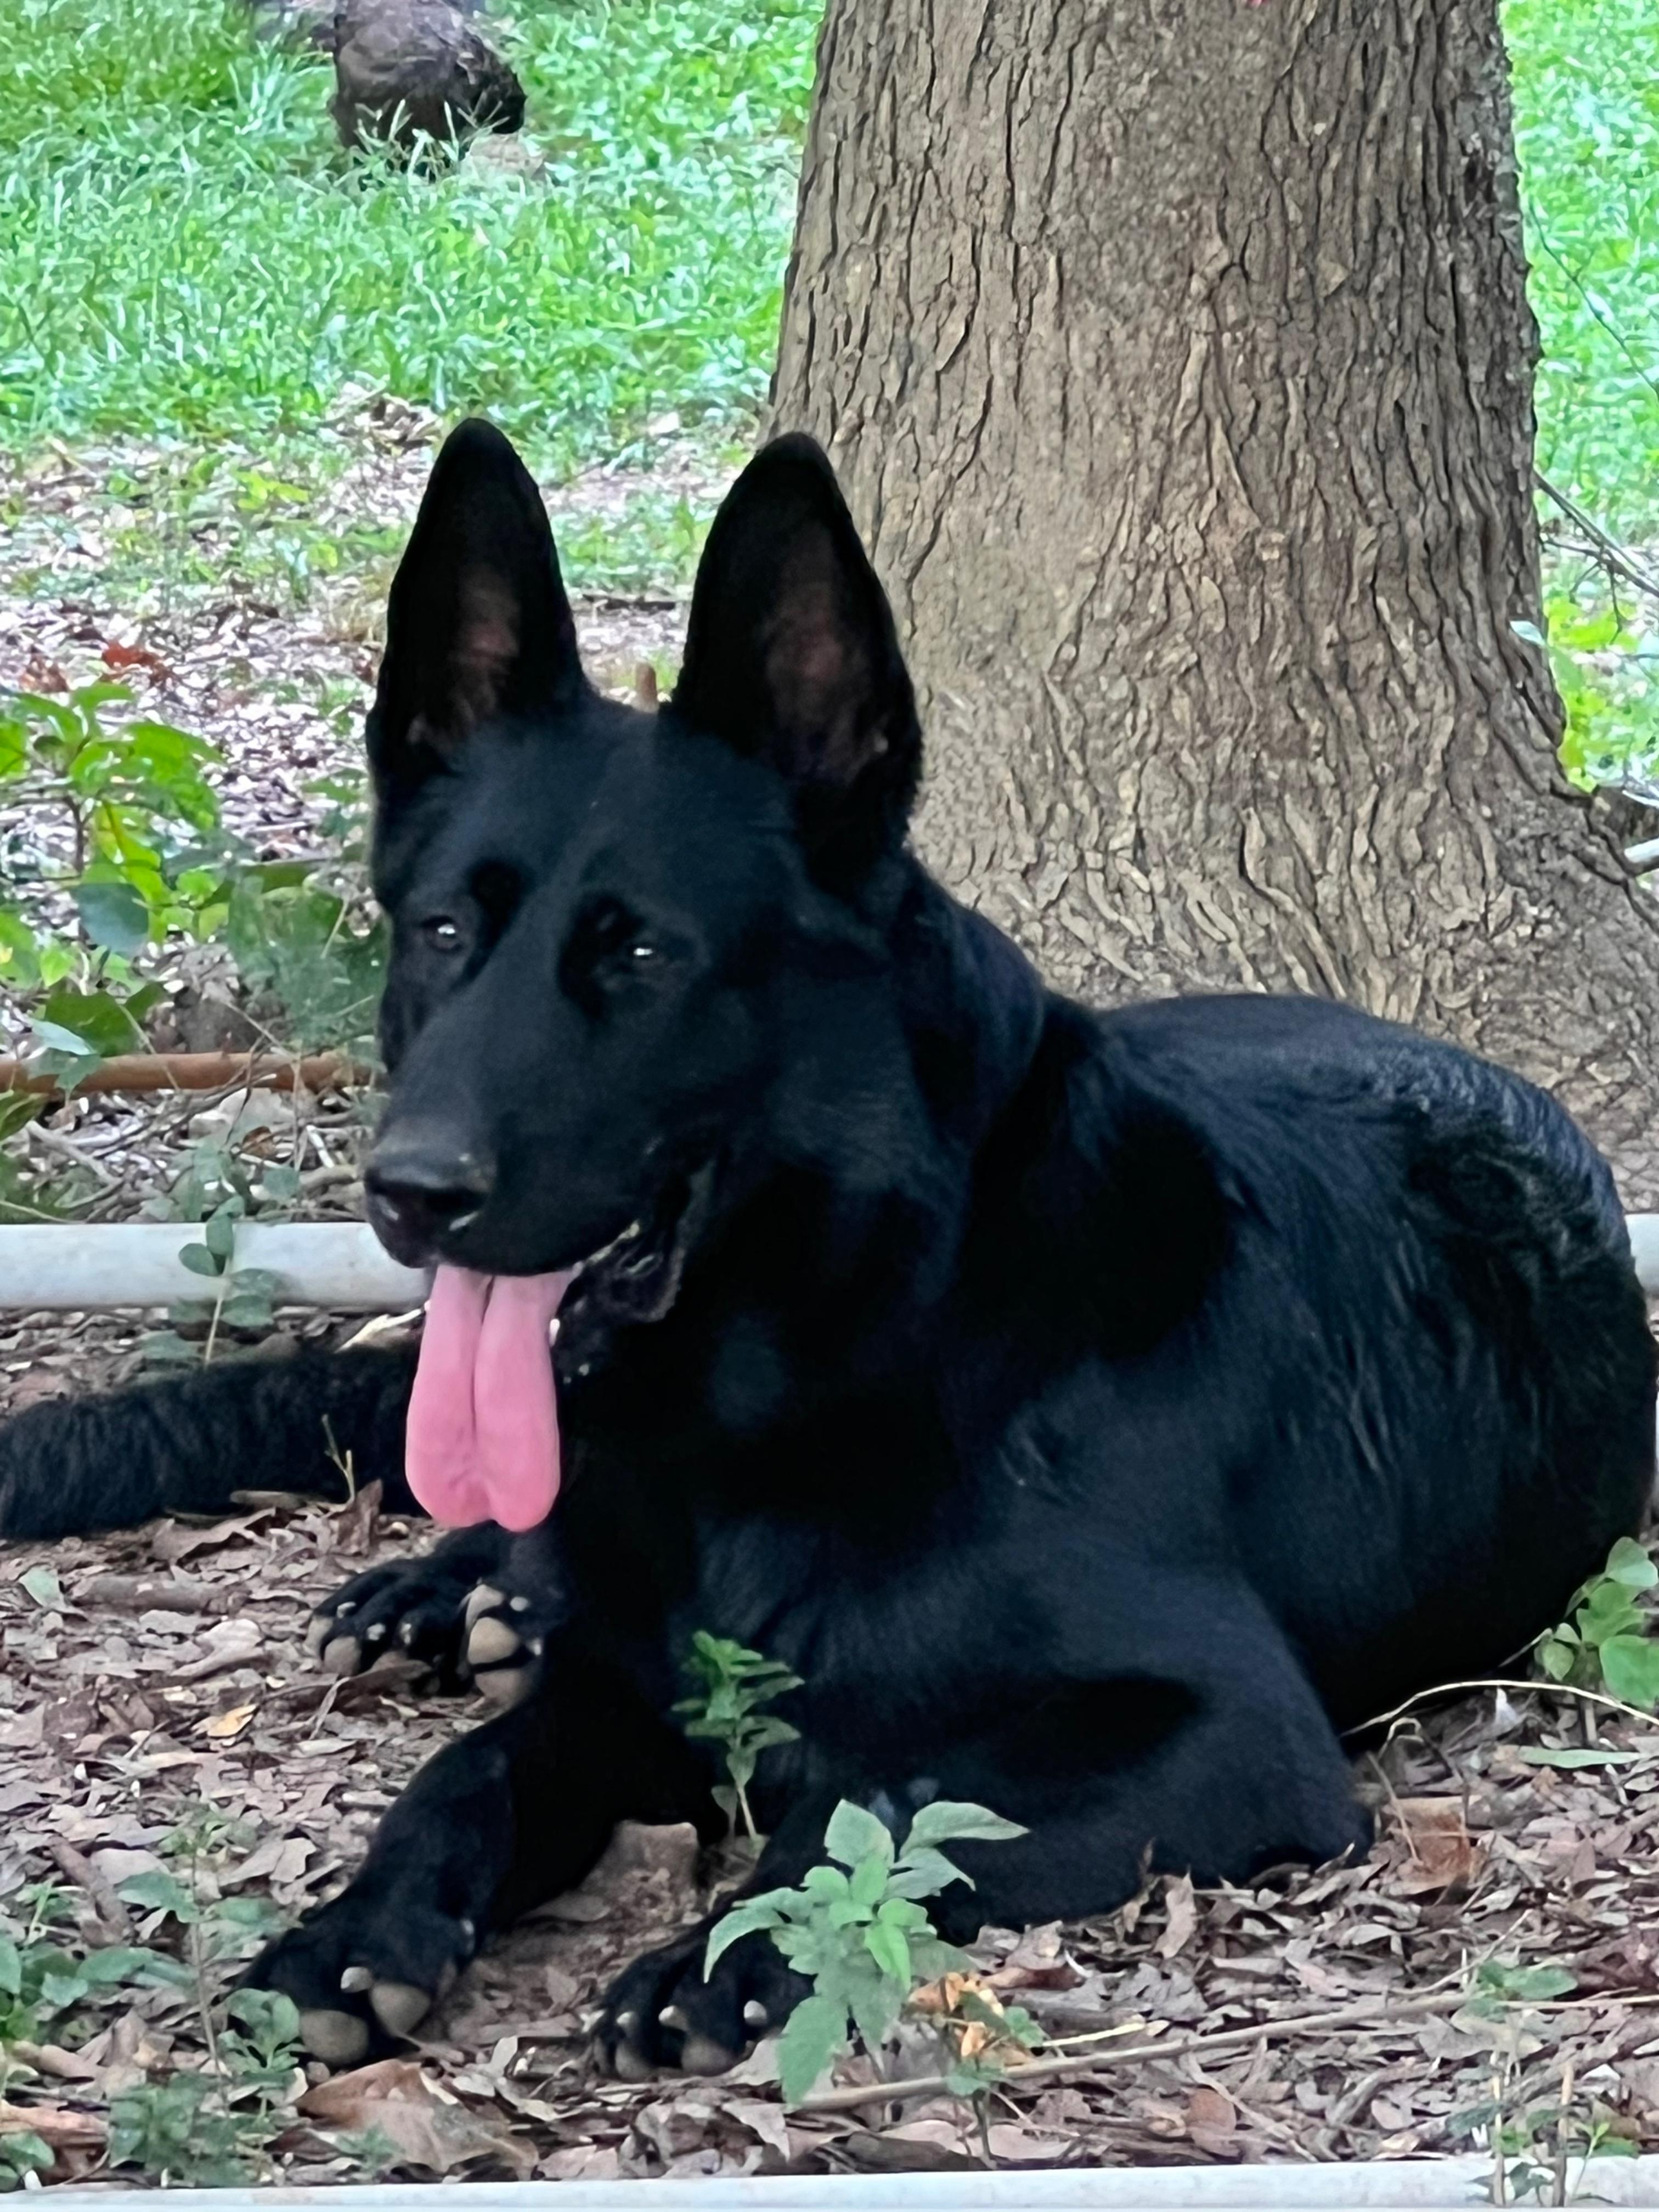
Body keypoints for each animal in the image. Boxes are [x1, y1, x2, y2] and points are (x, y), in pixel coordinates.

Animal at [1, 420, 1652, 2077]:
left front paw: (730, 1955)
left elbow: (892, 1799)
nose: (411, 1194)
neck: (848, 1341)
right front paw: (357, 1926)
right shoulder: (630, 1683)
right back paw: (446, 1591)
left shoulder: (1227, 1730)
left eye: (643, 954)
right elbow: (470, 1771)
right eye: (444, 934)